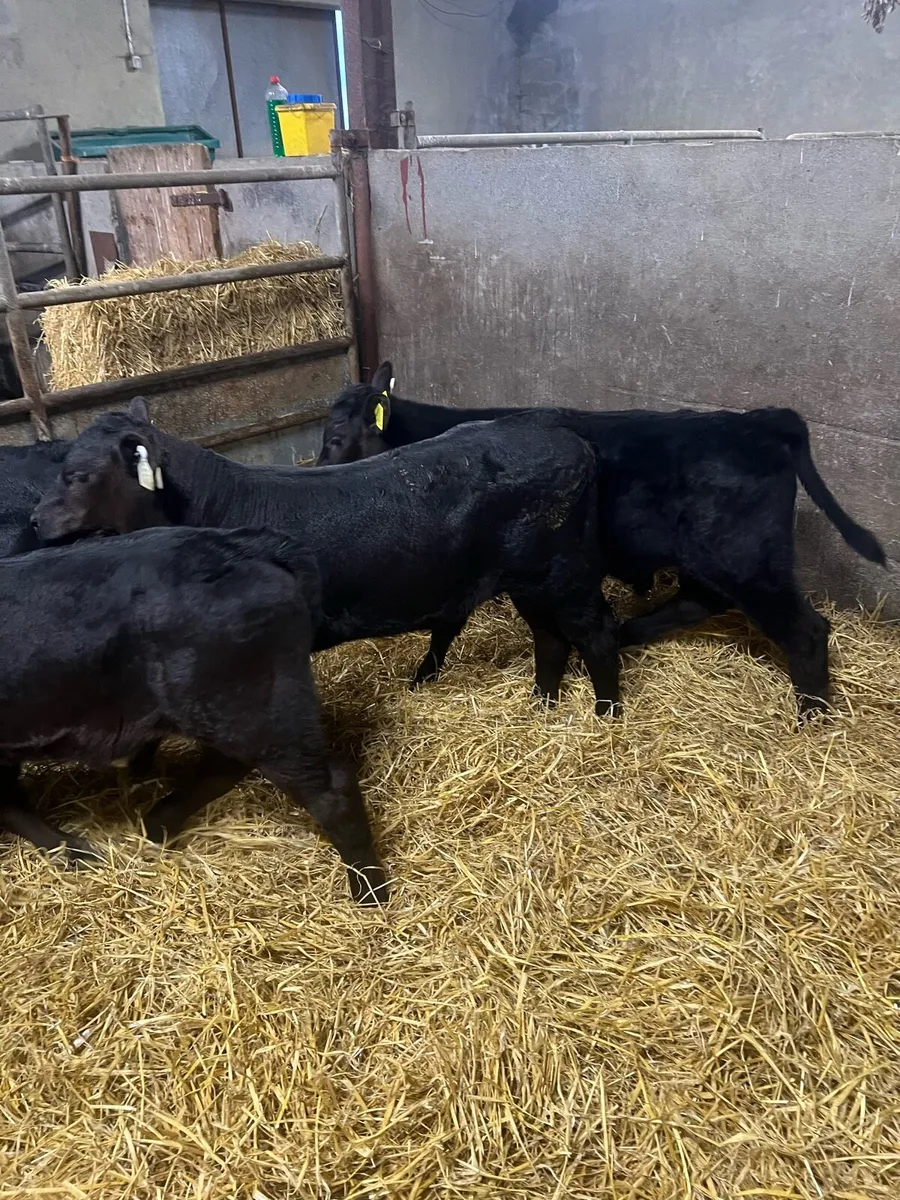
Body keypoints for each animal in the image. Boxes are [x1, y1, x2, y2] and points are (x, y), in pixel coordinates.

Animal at [0, 525, 387, 904]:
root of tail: (245, 545)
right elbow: (11, 804)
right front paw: (71, 851)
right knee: (224, 769)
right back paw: (155, 825)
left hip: (256, 709)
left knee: (331, 790)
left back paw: (370, 892)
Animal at [33, 398, 621, 716]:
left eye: (77, 474)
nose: (36, 520)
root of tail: (570, 440)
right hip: (528, 581)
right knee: (550, 639)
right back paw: (542, 705)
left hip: (566, 574)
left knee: (596, 632)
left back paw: (607, 714)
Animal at [315, 364, 887, 719]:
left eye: (337, 438)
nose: (315, 471)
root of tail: (761, 421)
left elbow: (444, 628)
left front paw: (421, 680)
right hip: (709, 562)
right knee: (696, 604)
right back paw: (629, 632)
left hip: (748, 560)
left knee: (806, 631)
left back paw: (812, 721)